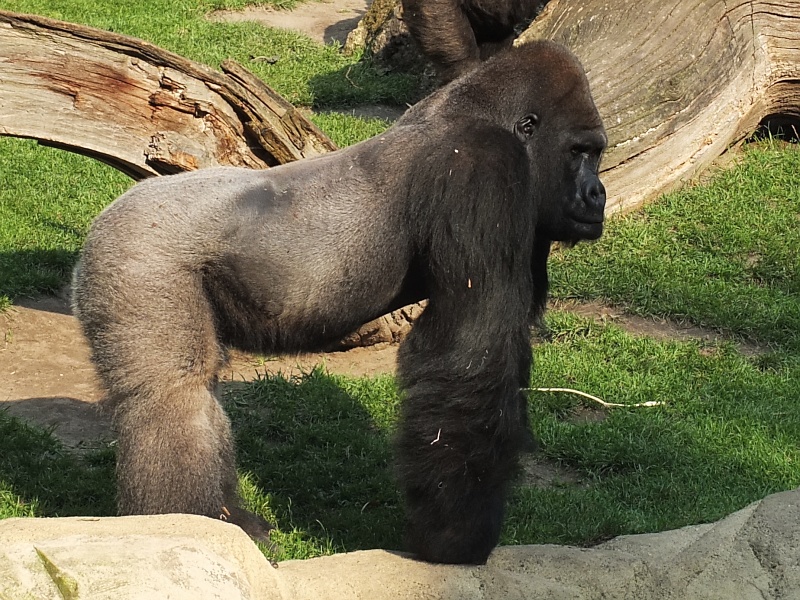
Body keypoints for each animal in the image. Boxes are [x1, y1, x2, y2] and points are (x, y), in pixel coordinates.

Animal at [72, 41, 608, 564]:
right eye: (579, 152)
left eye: (596, 154)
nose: (597, 195)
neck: (478, 113)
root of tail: (99, 225)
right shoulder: (482, 170)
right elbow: (470, 355)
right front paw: (456, 540)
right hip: (135, 257)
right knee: (172, 393)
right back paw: (188, 525)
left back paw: (229, 521)